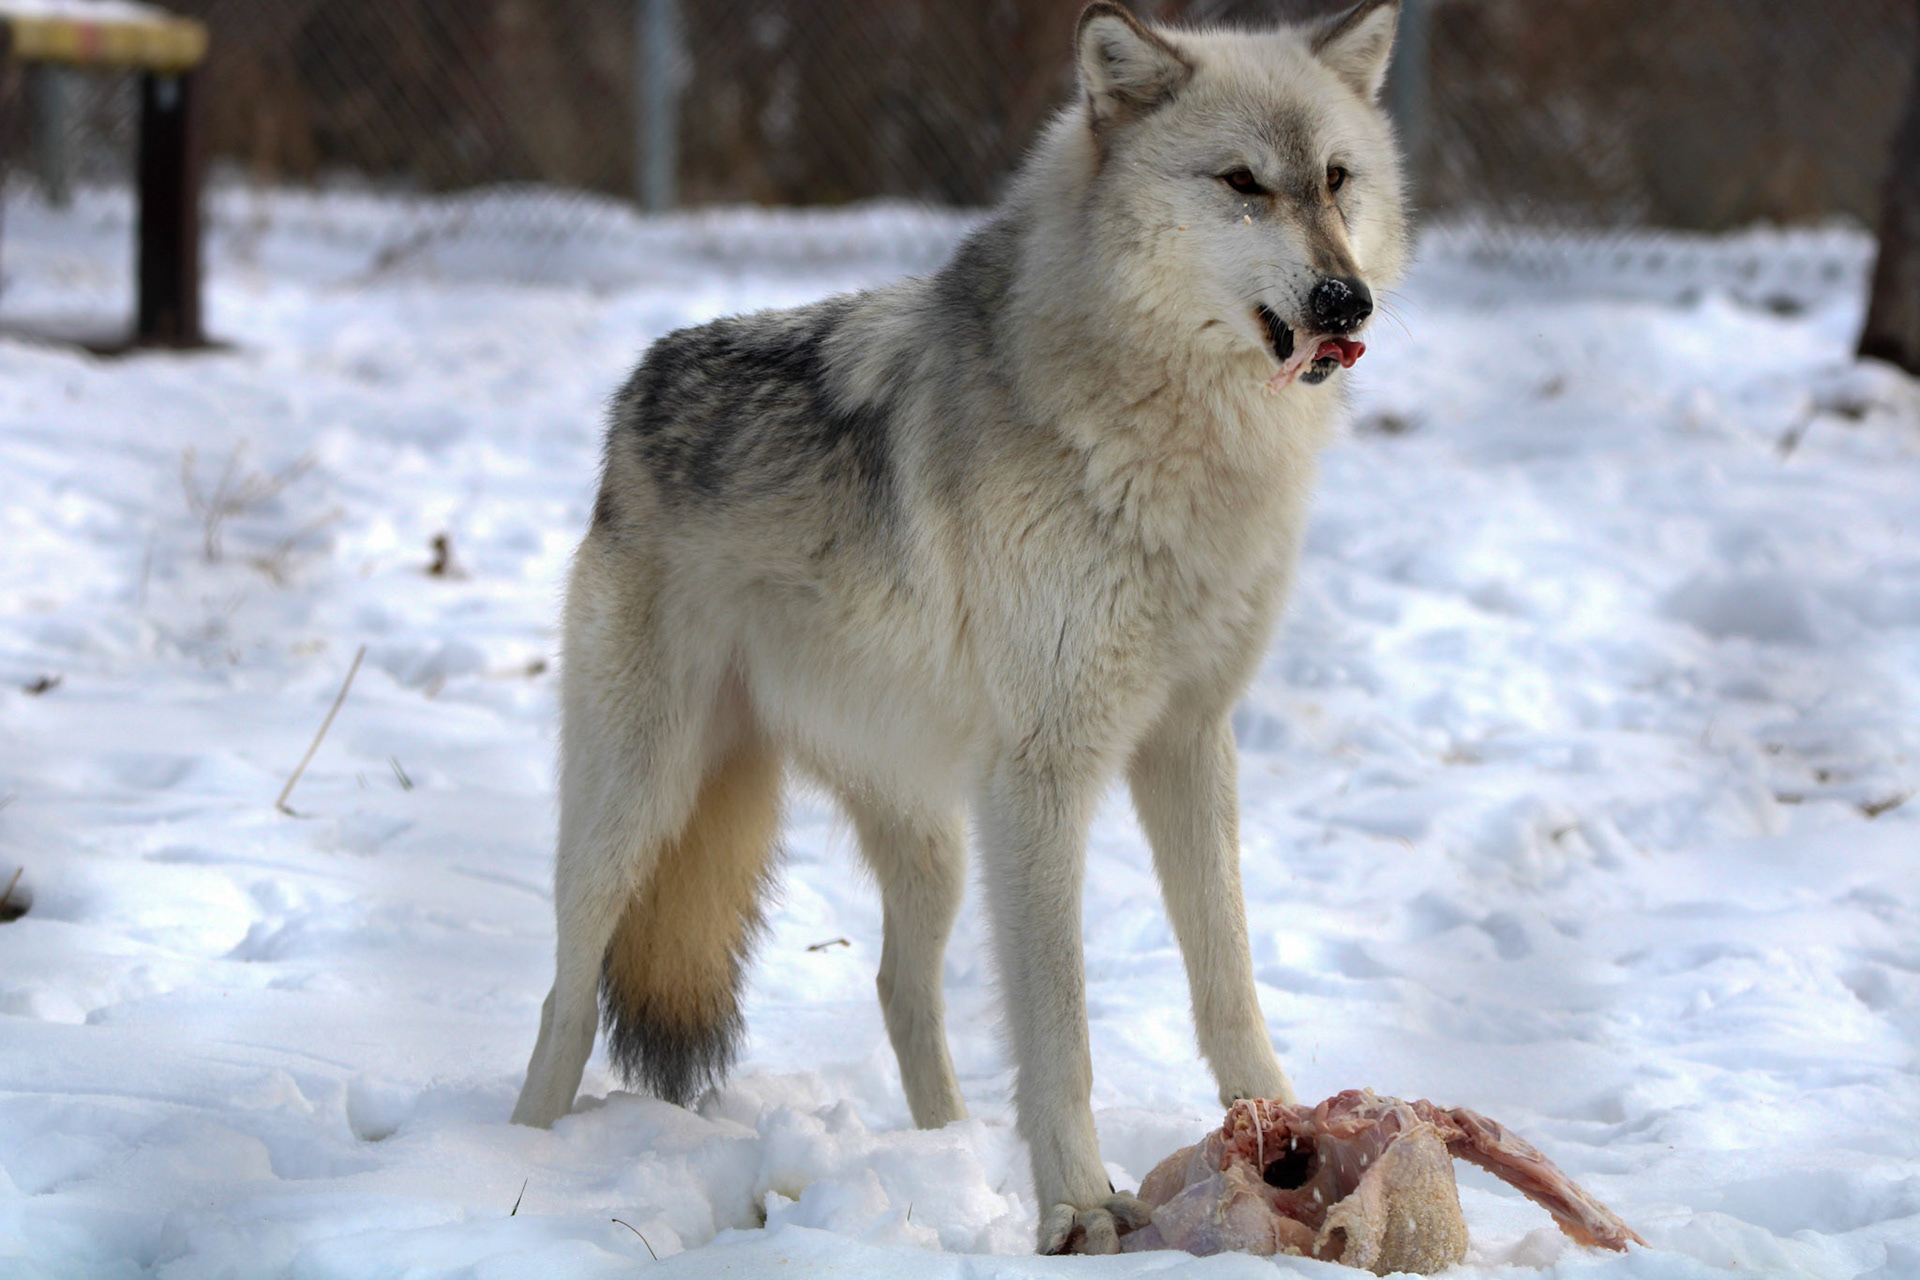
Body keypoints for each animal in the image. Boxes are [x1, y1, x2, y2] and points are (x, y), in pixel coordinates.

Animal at [512, 0, 1407, 1255]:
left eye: (1335, 179)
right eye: (1242, 183)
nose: (1346, 301)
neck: (1178, 447)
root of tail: (635, 392)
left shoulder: (1190, 740)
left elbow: (1226, 973)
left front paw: (1281, 1134)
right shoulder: (1044, 773)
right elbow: (1060, 1021)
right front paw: (1079, 1208)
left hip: (933, 839)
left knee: (899, 986)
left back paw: (952, 1155)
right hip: (635, 808)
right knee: (565, 987)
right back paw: (517, 1161)